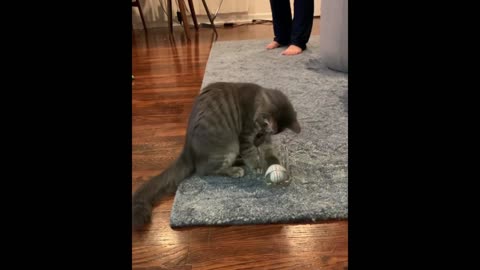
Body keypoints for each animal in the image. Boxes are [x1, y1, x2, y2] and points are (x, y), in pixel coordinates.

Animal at [132, 82, 300, 230]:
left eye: (264, 134)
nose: (258, 141)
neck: (255, 100)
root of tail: (188, 150)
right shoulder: (244, 137)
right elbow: (250, 153)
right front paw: (257, 165)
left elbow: (268, 151)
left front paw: (274, 162)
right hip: (229, 147)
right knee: (205, 170)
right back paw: (235, 169)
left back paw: (238, 162)